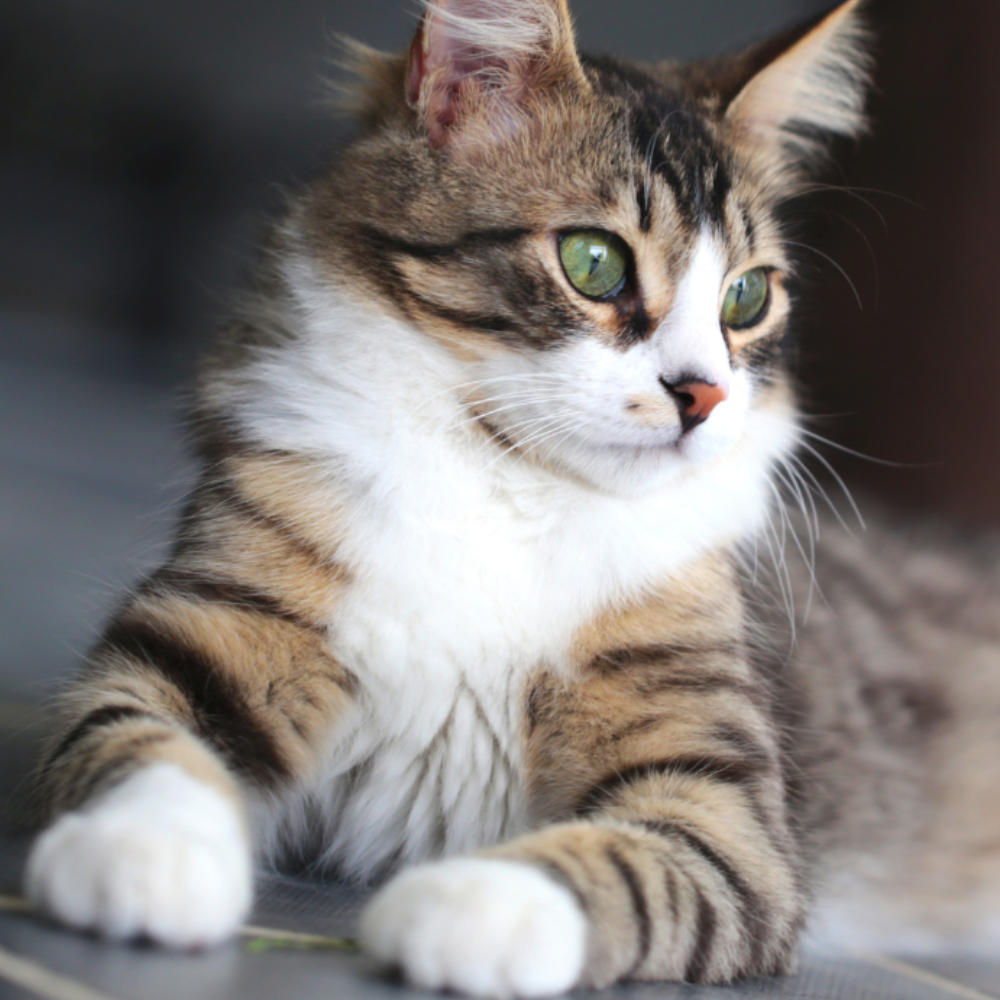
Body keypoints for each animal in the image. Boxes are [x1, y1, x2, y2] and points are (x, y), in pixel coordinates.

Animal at [25, 0, 1000, 996]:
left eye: (745, 297)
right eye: (594, 261)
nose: (704, 395)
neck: (507, 482)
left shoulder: (722, 806)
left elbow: (612, 864)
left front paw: (462, 905)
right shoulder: (193, 649)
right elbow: (142, 755)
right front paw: (141, 856)